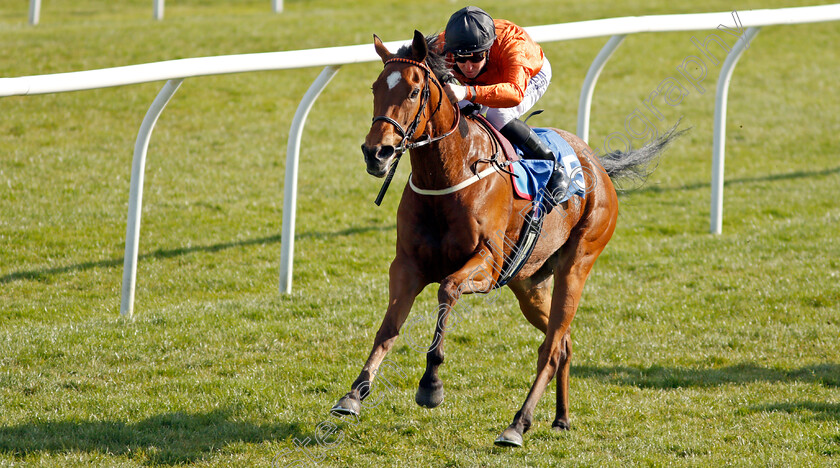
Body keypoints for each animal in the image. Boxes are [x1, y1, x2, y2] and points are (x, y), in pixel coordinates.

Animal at [332, 31, 680, 448]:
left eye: (415, 91)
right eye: (374, 88)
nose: (376, 152)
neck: (448, 174)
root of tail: (596, 165)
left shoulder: (488, 263)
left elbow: (447, 290)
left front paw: (431, 385)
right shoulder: (407, 265)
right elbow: (388, 329)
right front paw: (353, 394)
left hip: (577, 264)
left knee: (550, 347)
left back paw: (517, 424)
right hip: (528, 283)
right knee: (563, 342)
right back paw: (560, 418)